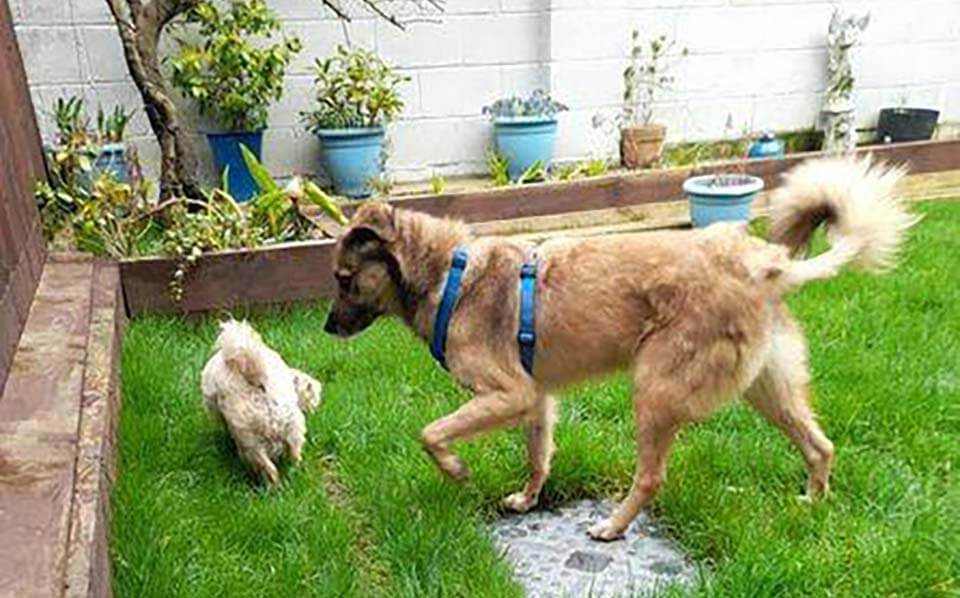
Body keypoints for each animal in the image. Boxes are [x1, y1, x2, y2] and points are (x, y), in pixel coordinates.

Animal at [322, 159, 916, 544]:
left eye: (344, 279)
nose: (327, 328)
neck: (448, 275)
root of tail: (762, 264)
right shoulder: (536, 399)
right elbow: (538, 456)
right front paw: (527, 499)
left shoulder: (506, 394)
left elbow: (430, 432)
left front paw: (455, 469)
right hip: (768, 387)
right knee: (821, 445)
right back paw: (812, 504)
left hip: (654, 387)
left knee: (652, 476)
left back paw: (613, 526)